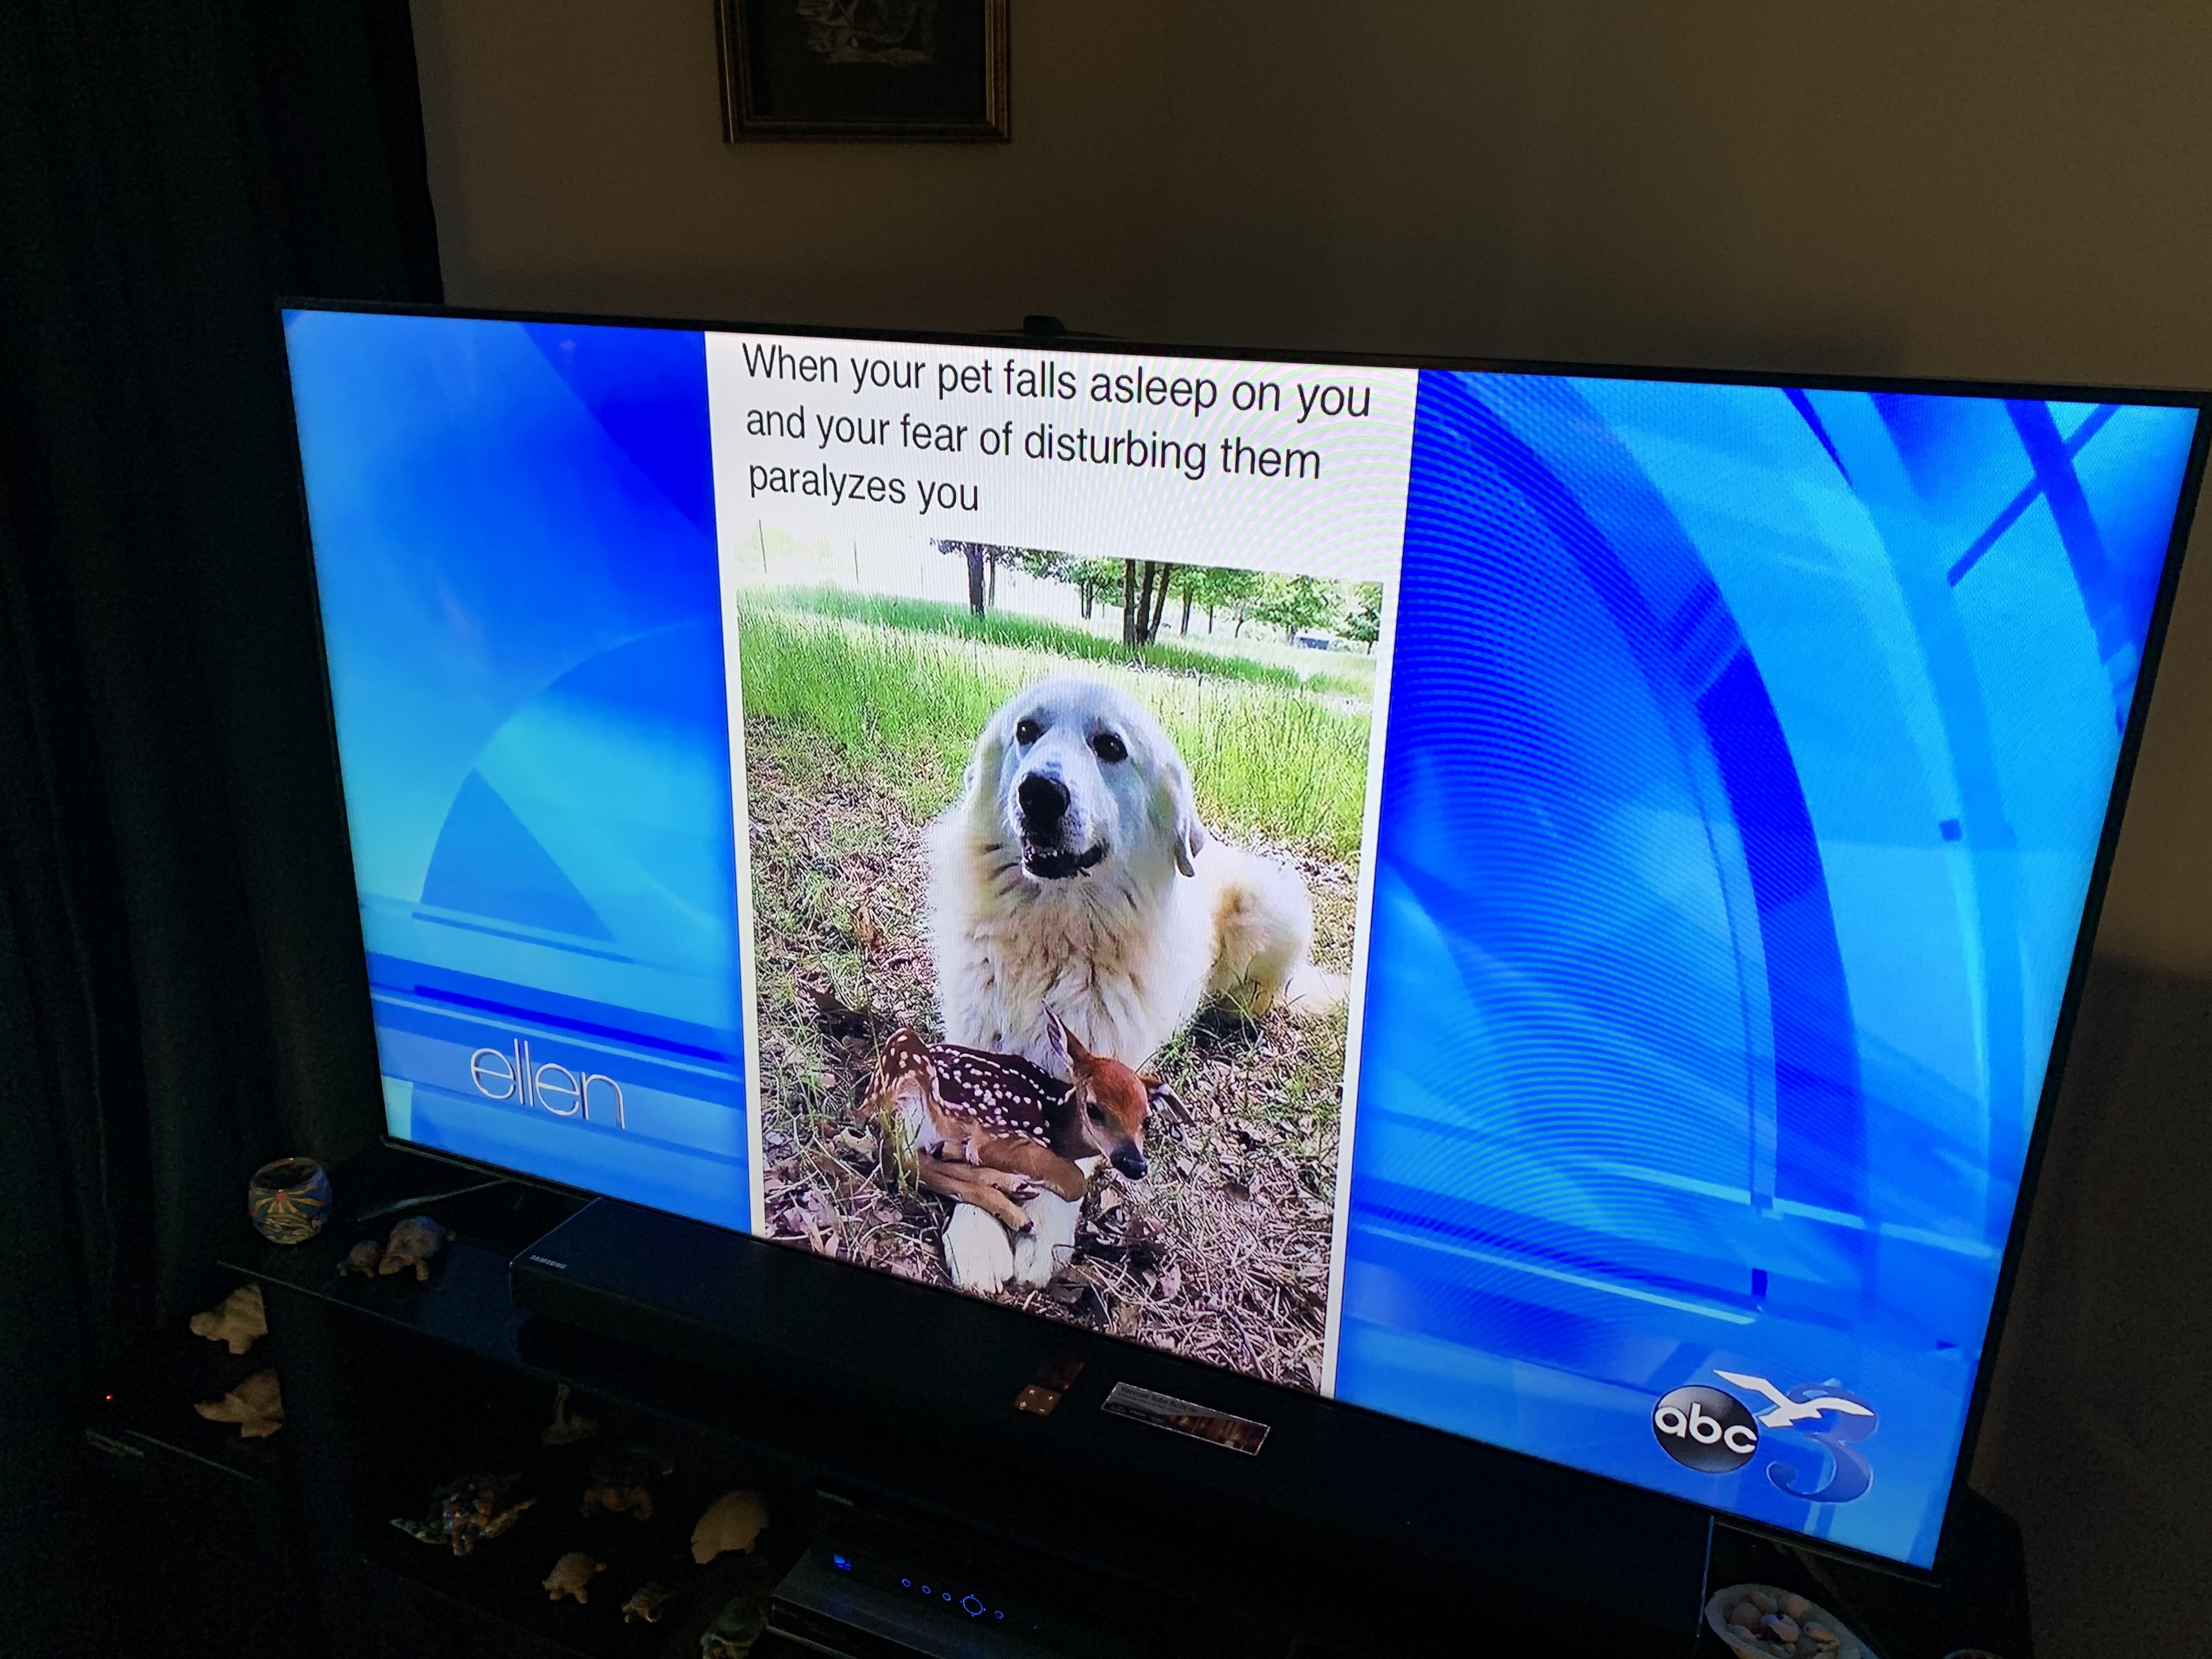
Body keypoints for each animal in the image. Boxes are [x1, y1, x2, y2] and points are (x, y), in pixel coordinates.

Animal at [923, 674, 1341, 1289]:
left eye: (1110, 747)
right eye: (1026, 730)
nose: (1038, 793)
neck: (1054, 937)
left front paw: (1043, 1231)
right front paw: (978, 1234)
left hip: (1276, 903)